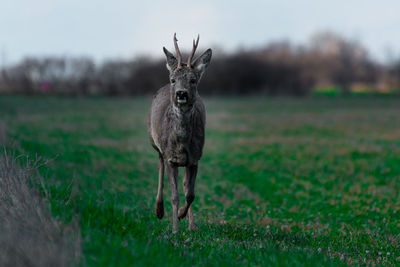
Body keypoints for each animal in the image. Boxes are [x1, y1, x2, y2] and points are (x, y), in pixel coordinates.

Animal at [148, 34, 212, 234]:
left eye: (193, 80)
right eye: (173, 79)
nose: (181, 94)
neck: (182, 142)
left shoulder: (195, 158)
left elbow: (190, 194)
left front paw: (183, 216)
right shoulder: (171, 158)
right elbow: (174, 195)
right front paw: (175, 229)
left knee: (185, 184)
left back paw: (192, 224)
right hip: (154, 141)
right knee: (159, 166)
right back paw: (159, 210)